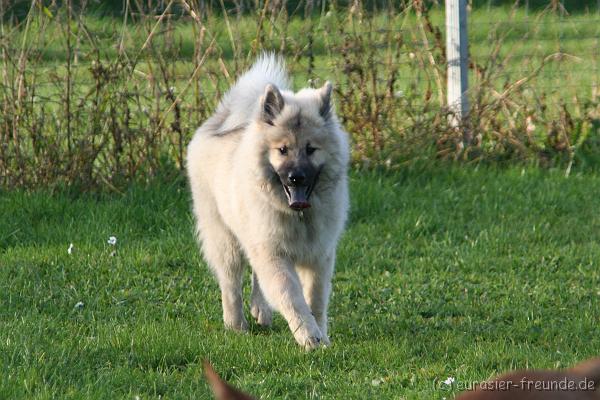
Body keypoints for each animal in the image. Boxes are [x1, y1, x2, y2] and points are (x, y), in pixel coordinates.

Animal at [185, 54, 350, 350]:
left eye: (311, 149)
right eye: (282, 150)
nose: (296, 177)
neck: (299, 216)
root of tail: (220, 121)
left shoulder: (319, 255)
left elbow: (316, 299)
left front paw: (321, 335)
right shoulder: (274, 254)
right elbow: (292, 297)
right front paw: (309, 336)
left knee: (254, 278)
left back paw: (260, 311)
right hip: (225, 238)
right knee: (230, 283)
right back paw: (236, 325)